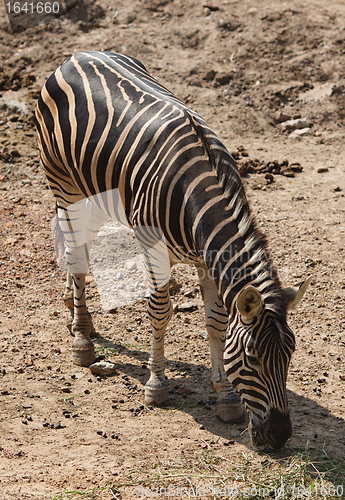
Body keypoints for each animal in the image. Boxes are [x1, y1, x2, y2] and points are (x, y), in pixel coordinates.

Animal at [34, 50, 310, 450]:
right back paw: (83, 339)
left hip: (96, 191)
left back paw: (72, 311)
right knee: (76, 255)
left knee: (79, 247)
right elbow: (160, 313)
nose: (279, 436)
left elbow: (216, 322)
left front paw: (225, 397)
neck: (197, 196)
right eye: (252, 358)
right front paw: (156, 385)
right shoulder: (154, 251)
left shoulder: (208, 260)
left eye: (290, 353)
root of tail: (79, 55)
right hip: (64, 185)